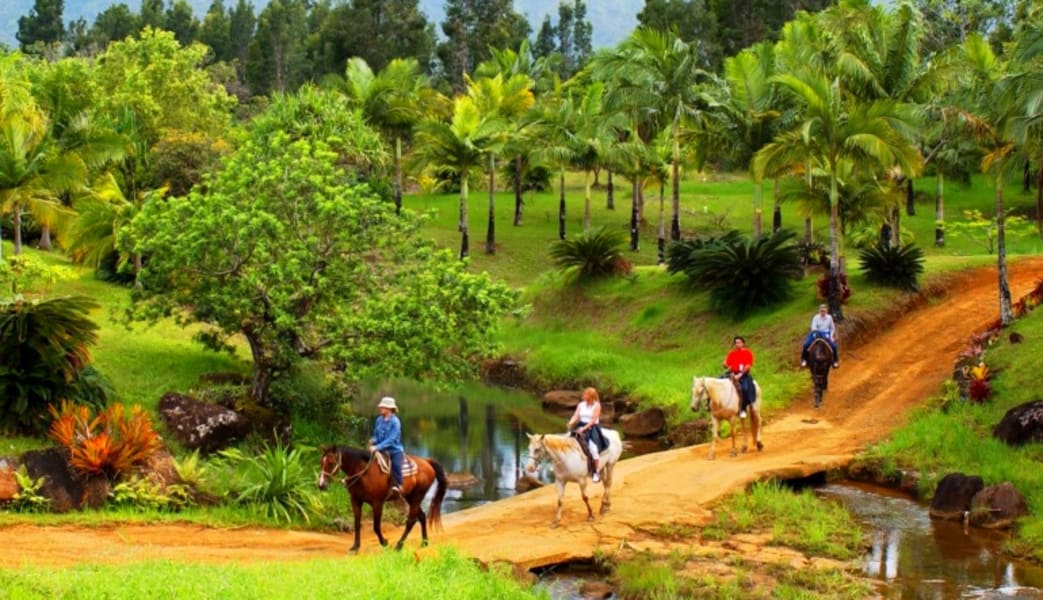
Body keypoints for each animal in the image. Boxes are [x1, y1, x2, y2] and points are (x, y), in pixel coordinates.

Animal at [317, 446, 448, 555]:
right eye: (321, 462)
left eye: (331, 463)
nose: (321, 485)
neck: (364, 473)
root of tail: (427, 461)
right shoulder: (355, 501)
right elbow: (357, 524)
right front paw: (355, 547)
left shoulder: (377, 503)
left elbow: (376, 526)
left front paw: (384, 543)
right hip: (409, 497)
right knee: (421, 516)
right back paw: (424, 542)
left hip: (417, 496)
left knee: (411, 521)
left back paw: (398, 546)